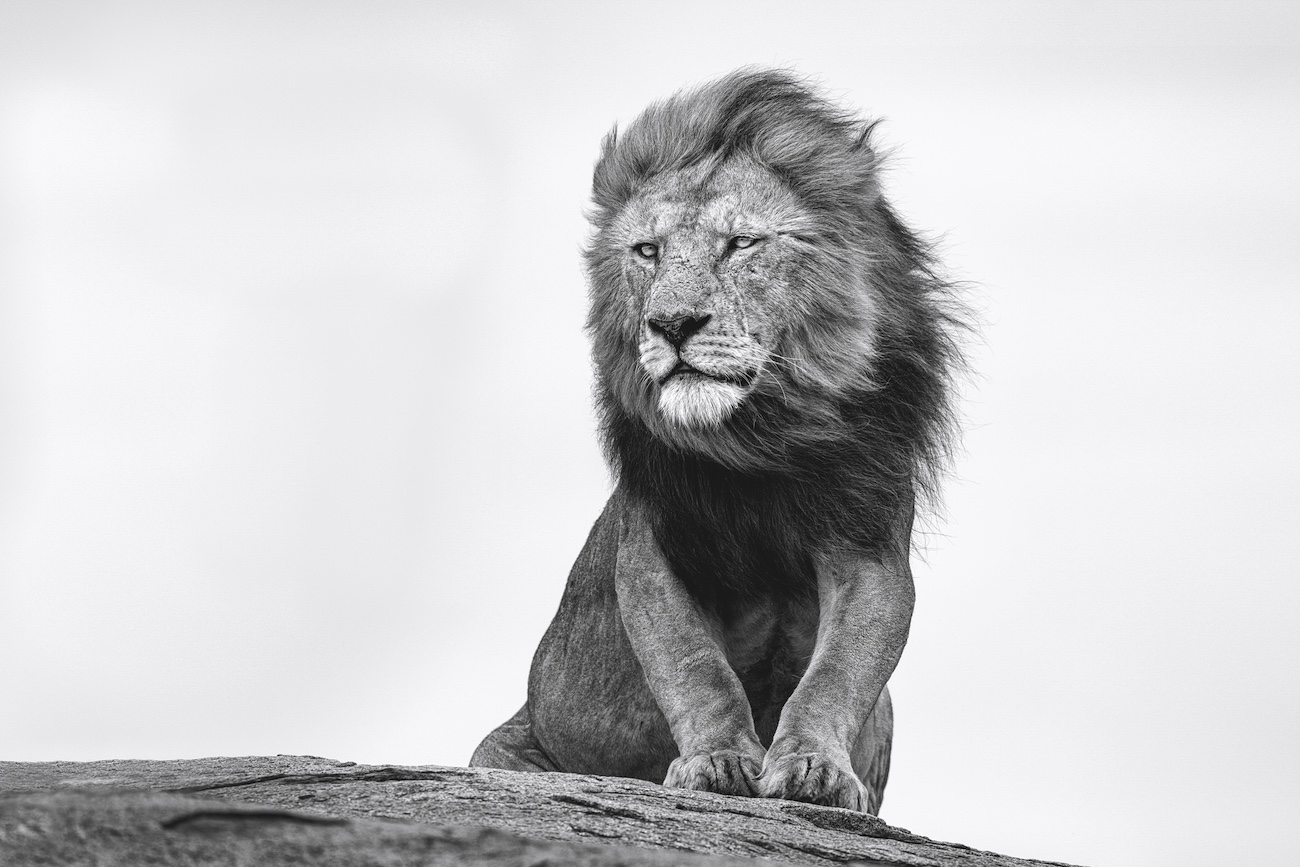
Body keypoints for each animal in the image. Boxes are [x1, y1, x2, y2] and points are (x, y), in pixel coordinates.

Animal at [470, 69, 962, 815]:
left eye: (741, 244)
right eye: (648, 251)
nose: (672, 323)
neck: (757, 440)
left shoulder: (867, 546)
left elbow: (837, 673)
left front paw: (814, 768)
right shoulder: (651, 546)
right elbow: (695, 668)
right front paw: (718, 760)